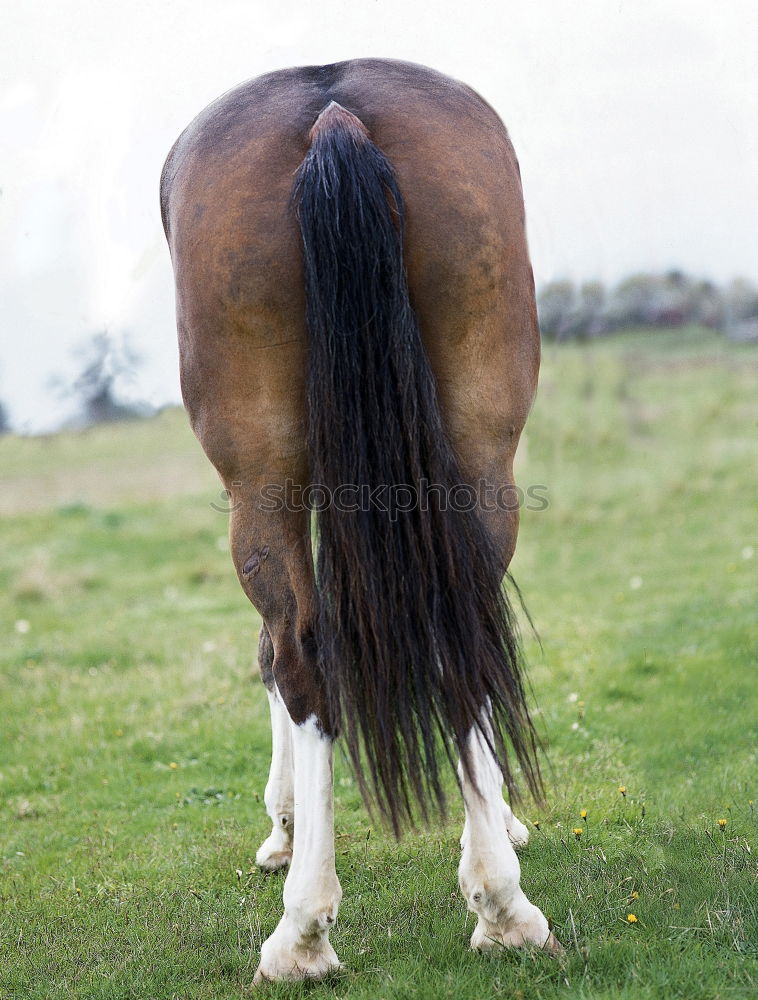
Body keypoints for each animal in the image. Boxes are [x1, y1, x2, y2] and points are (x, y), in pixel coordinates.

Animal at [160, 56, 560, 984]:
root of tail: (332, 110)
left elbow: (270, 656)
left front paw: (281, 828)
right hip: (478, 447)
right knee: (462, 635)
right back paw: (503, 906)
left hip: (260, 477)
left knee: (301, 654)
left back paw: (303, 931)